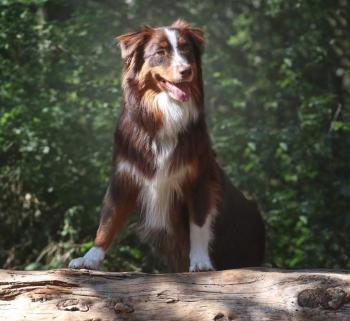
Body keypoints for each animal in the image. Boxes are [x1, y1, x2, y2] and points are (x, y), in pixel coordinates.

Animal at [69, 19, 266, 270]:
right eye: (160, 53)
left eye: (186, 49)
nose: (186, 70)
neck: (164, 113)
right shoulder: (123, 177)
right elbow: (108, 220)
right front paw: (90, 257)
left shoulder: (199, 179)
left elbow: (198, 224)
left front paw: (200, 262)